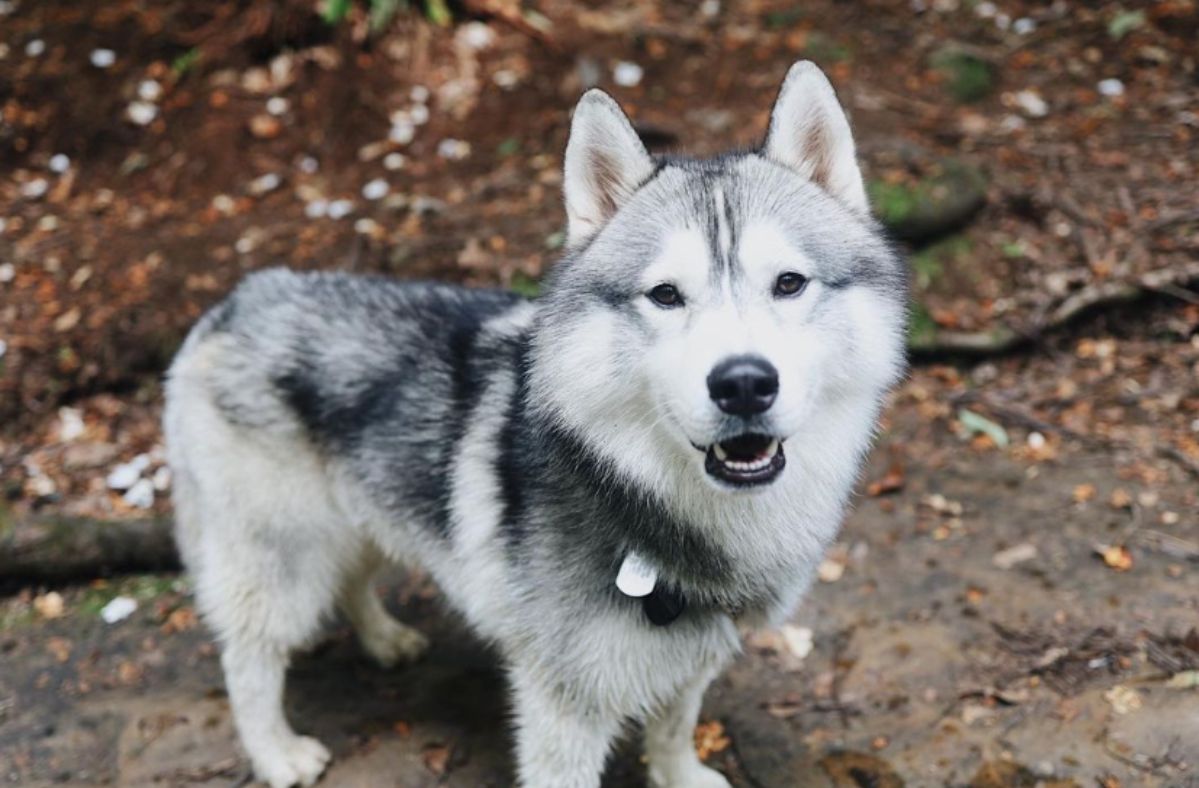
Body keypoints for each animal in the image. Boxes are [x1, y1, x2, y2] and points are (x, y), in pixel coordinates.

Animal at [164, 62, 901, 786]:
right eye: (665, 295)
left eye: (788, 283)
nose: (743, 383)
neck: (650, 498)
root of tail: (235, 300)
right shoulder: (562, 709)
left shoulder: (693, 650)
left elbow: (673, 724)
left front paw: (680, 775)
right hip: (282, 563)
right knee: (248, 660)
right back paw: (276, 754)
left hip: (363, 512)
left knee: (355, 576)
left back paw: (385, 639)